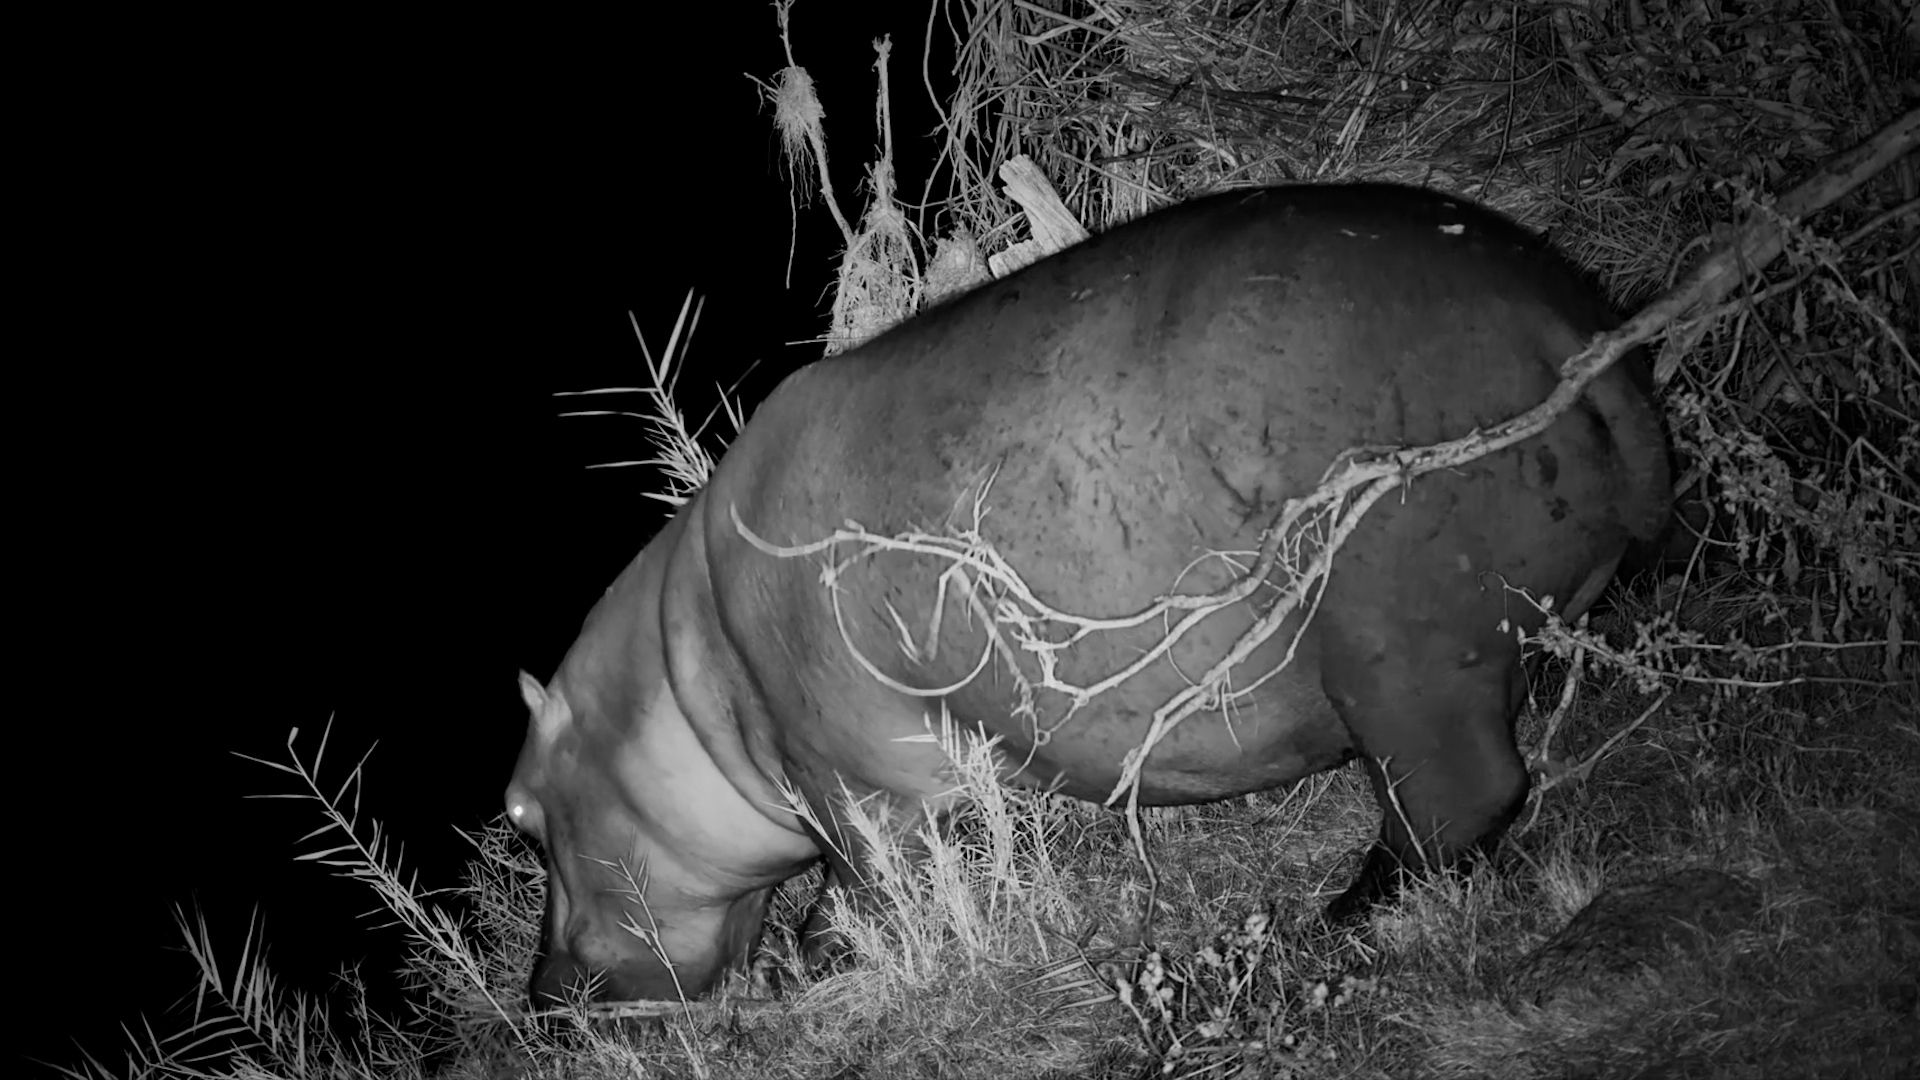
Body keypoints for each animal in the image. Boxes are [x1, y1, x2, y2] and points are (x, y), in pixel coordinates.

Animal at [507, 183, 1670, 1004]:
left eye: (518, 811)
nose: (542, 997)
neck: (679, 666)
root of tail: (1566, 324)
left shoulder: (844, 778)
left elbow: (871, 877)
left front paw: (821, 957)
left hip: (1395, 631)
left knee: (1457, 791)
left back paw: (1340, 913)